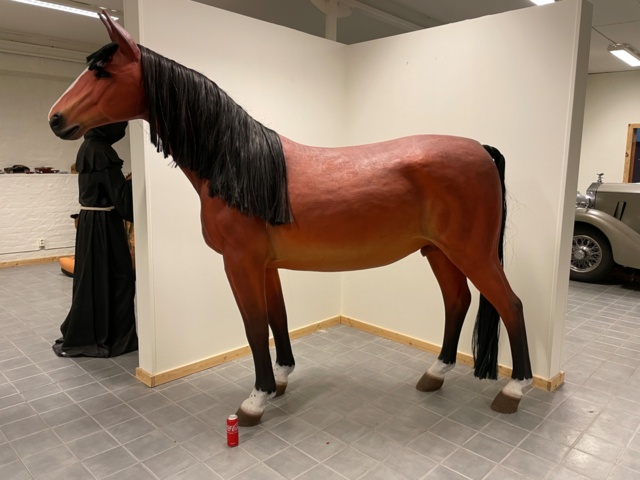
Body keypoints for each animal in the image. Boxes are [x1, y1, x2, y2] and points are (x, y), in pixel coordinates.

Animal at [48, 11, 532, 426]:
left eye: (102, 72)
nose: (56, 118)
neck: (240, 167)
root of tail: (480, 149)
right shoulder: (265, 265)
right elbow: (276, 318)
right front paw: (280, 379)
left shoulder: (240, 262)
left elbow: (253, 325)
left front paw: (254, 400)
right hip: (438, 251)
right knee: (458, 302)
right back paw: (435, 373)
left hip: (472, 253)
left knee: (510, 304)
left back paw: (514, 390)